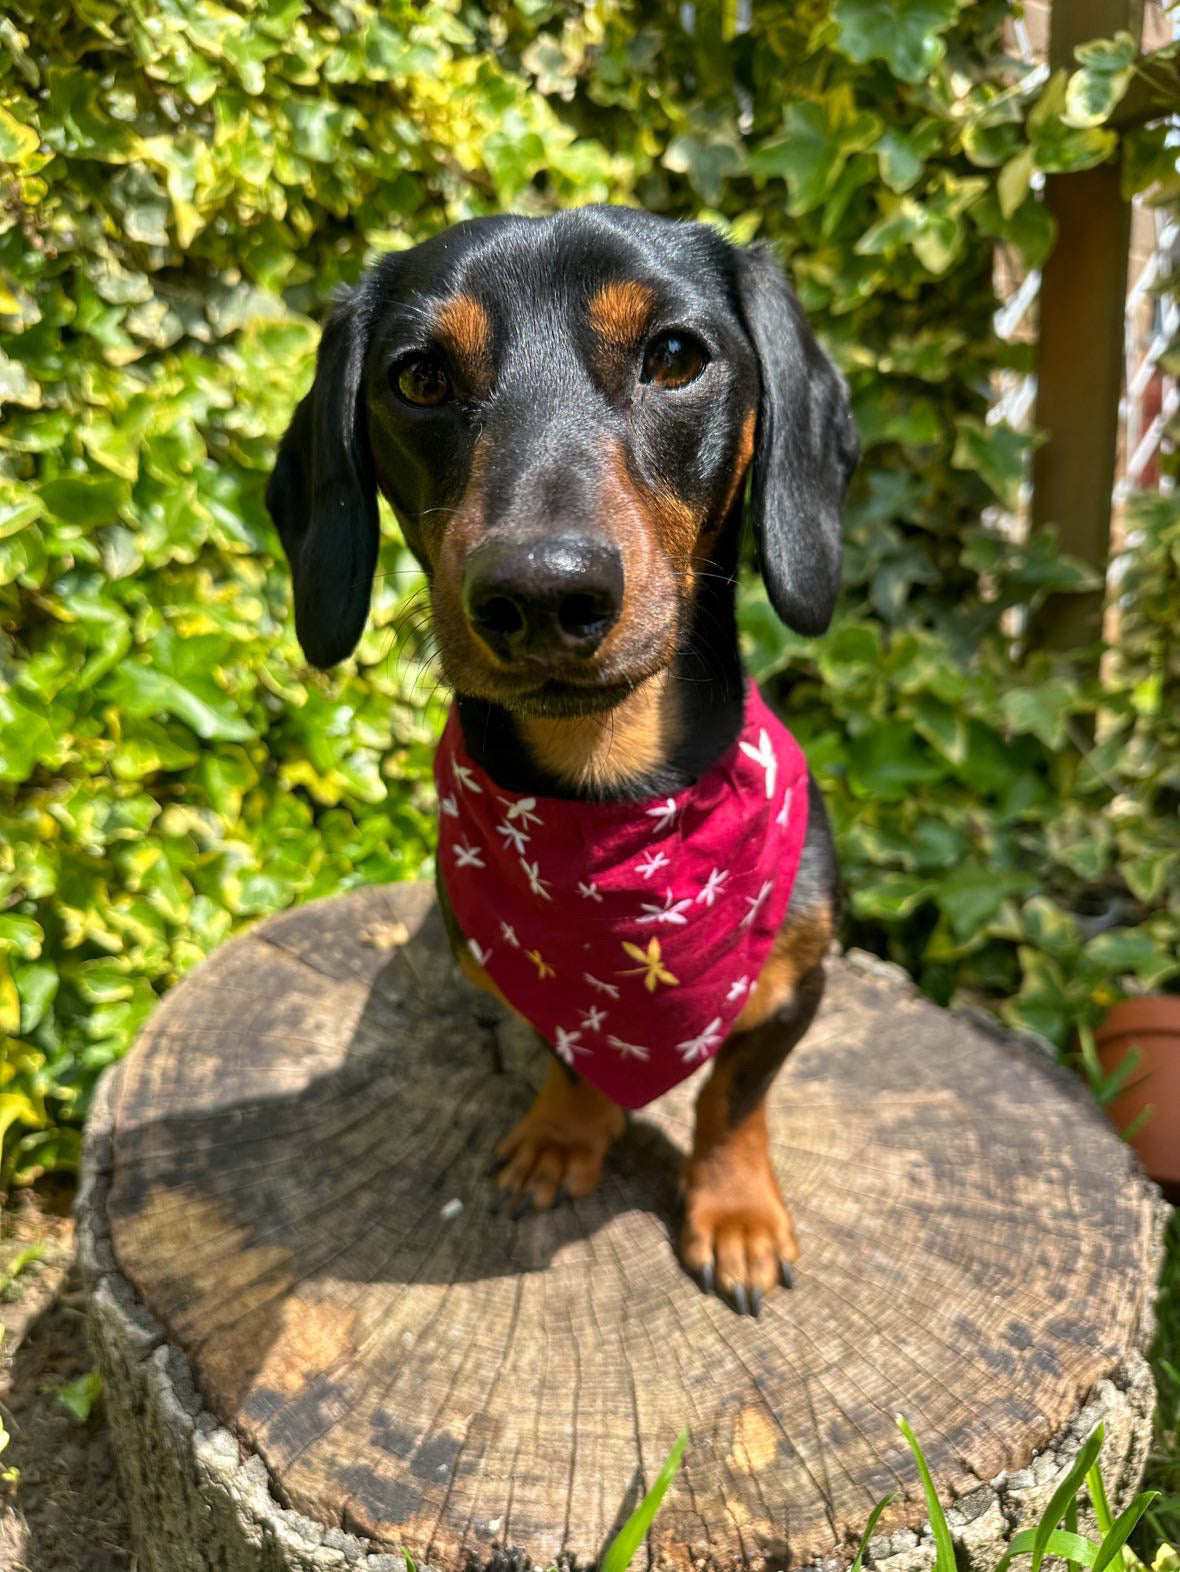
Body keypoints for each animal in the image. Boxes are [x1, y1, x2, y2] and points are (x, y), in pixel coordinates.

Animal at [265, 205, 861, 1314]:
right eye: (418, 377)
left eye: (675, 356)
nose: (541, 594)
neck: (609, 799)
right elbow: (573, 1055)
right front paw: (561, 1139)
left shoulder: (797, 984)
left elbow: (733, 1097)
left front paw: (736, 1214)